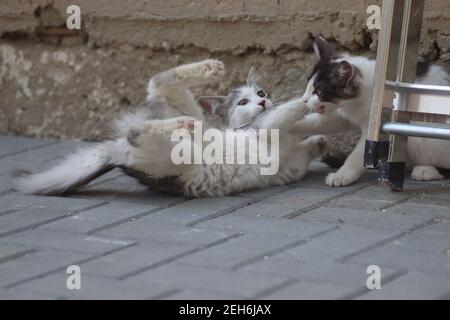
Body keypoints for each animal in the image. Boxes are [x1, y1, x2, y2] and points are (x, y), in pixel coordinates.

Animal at [14, 58, 324, 196]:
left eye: (260, 93)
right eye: (243, 102)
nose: (262, 102)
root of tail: (115, 154)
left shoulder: (291, 166)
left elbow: (304, 149)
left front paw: (318, 141)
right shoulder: (264, 126)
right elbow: (288, 110)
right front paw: (310, 98)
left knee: (151, 99)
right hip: (175, 148)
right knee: (152, 95)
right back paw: (198, 89)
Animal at [296, 36, 450, 188]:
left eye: (319, 91)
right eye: (308, 85)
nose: (303, 100)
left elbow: (360, 153)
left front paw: (343, 175)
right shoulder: (342, 114)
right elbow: (321, 122)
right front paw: (292, 124)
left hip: (421, 136)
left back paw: (425, 170)